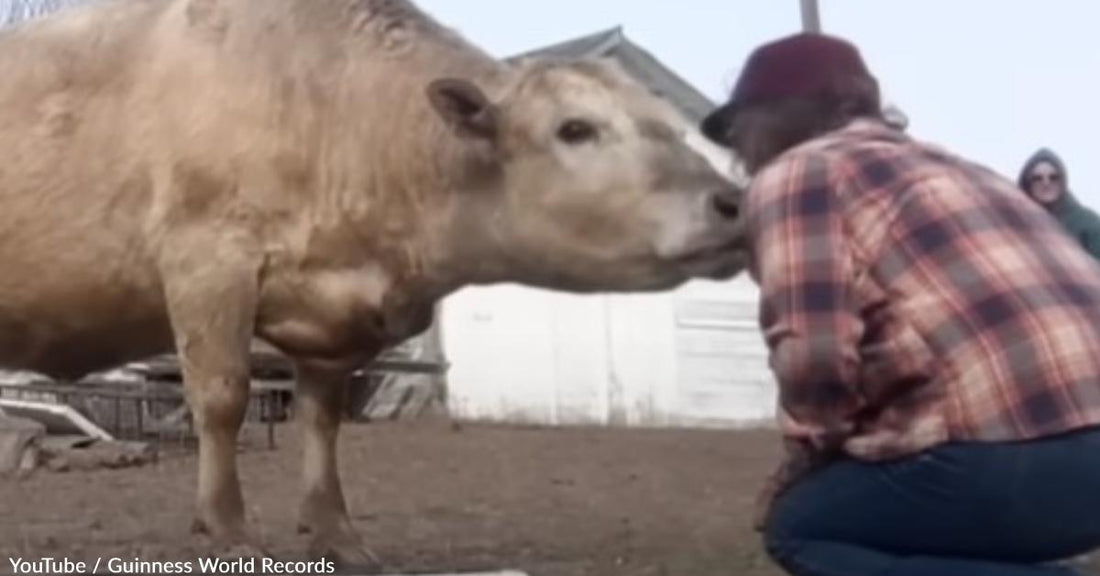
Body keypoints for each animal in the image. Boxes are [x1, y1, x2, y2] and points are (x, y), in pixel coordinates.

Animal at [0, 0, 743, 562]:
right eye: (576, 128)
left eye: (673, 129)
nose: (732, 202)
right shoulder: (207, 260)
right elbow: (223, 400)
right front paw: (230, 530)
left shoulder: (331, 323)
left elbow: (323, 420)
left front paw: (337, 536)